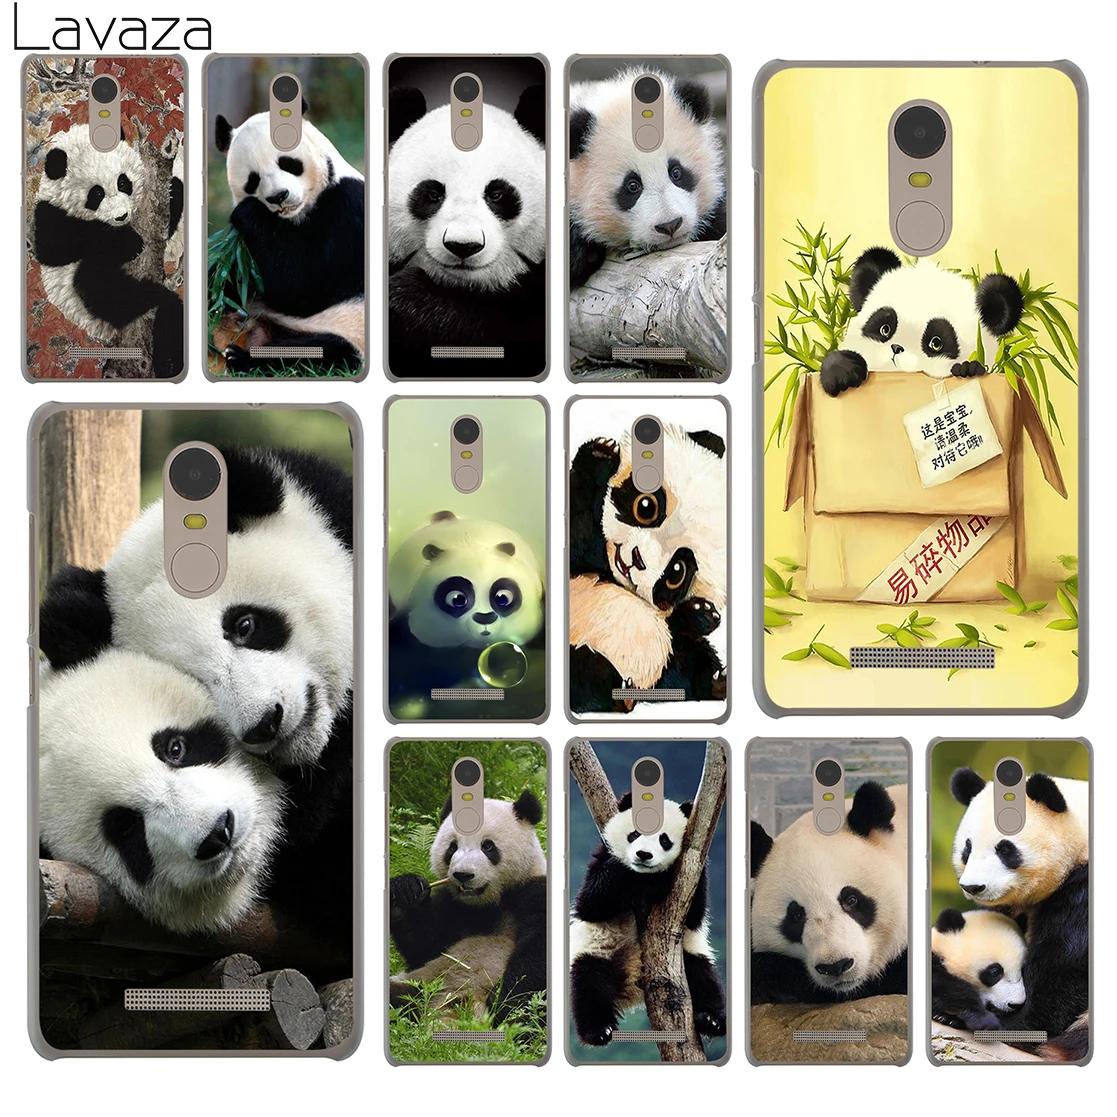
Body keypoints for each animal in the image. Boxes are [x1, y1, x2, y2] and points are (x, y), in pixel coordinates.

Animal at [32, 124, 185, 378]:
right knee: (97, 284)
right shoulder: (48, 213)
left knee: (171, 319)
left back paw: (170, 363)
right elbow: (55, 247)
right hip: (82, 302)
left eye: (123, 183)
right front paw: (129, 243)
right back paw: (150, 297)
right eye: (97, 194)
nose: (121, 216)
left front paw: (176, 188)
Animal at [214, 111, 364, 375]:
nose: (279, 196)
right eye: (253, 179)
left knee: (324, 352)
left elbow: (303, 289)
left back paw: (242, 358)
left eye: (287, 163)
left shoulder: (349, 209)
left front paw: (248, 212)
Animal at [389, 790, 546, 1022]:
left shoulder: (534, 892)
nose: (463, 875)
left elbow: (536, 957)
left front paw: (505, 1002)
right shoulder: (454, 907)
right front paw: (406, 892)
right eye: (452, 847)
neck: (489, 904)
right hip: (421, 982)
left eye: (488, 846)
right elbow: (424, 947)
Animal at [568, 427, 726, 713]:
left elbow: (681, 641)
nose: (636, 559)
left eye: (677, 572)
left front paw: (703, 614)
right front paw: (601, 454)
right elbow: (577, 523)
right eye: (646, 507)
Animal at [569, 793, 726, 1047]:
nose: (643, 855)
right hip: (598, 951)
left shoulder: (693, 874)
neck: (642, 877)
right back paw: (599, 1030)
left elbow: (694, 915)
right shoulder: (602, 859)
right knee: (589, 986)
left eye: (665, 840)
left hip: (688, 956)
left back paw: (712, 1020)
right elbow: (590, 904)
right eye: (635, 833)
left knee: (703, 978)